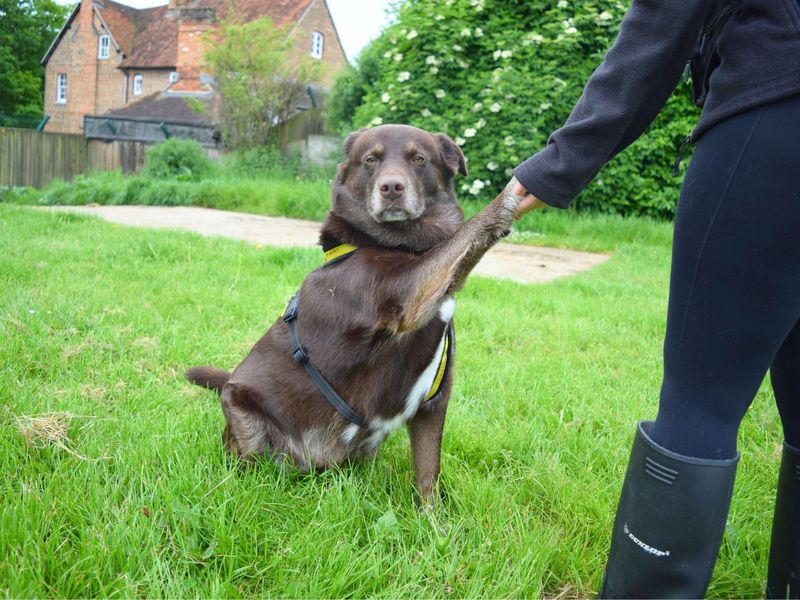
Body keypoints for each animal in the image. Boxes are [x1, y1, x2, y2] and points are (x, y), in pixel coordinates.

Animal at [188, 123, 524, 502]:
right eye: (371, 160)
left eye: (419, 159)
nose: (391, 188)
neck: (399, 244)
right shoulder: (406, 291)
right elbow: (468, 232)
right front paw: (510, 195)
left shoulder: (435, 398)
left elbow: (427, 474)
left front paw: (432, 518)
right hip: (242, 406)